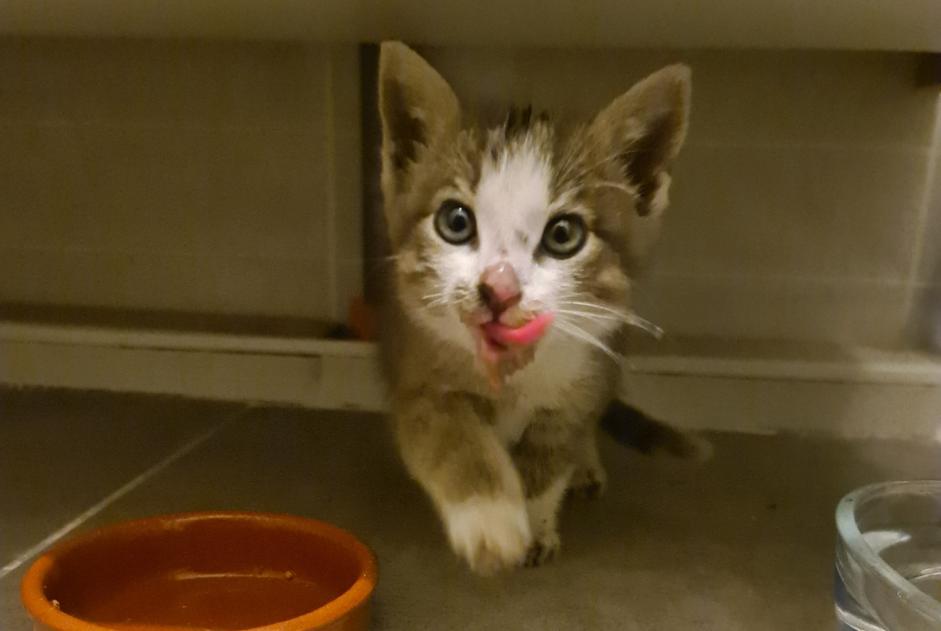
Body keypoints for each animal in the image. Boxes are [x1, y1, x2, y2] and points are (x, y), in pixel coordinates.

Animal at [378, 42, 692, 576]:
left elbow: (548, 461)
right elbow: (450, 438)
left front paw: (534, 523)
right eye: (455, 221)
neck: (513, 374)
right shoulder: (418, 372)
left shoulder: (581, 379)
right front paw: (490, 520)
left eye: (564, 234)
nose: (499, 290)